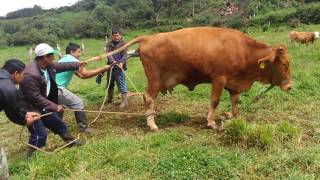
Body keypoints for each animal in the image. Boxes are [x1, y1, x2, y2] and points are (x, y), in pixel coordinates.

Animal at [106, 26, 292, 130]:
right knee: (149, 97)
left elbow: (235, 101)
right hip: (155, 80)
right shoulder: (219, 79)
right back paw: (152, 124)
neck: (244, 50)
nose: (290, 86)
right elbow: (215, 101)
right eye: (285, 64)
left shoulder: (234, 83)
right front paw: (211, 122)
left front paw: (236, 117)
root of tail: (150, 37)